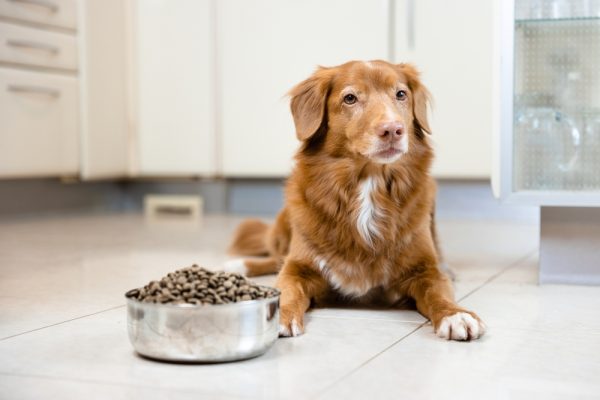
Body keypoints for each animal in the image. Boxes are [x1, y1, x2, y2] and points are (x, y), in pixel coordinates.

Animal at [227, 59, 486, 340]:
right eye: (350, 98)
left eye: (401, 94)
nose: (393, 129)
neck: (368, 182)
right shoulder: (298, 267)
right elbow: (286, 288)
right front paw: (277, 315)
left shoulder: (425, 270)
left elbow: (438, 293)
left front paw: (455, 314)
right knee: (277, 258)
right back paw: (238, 266)